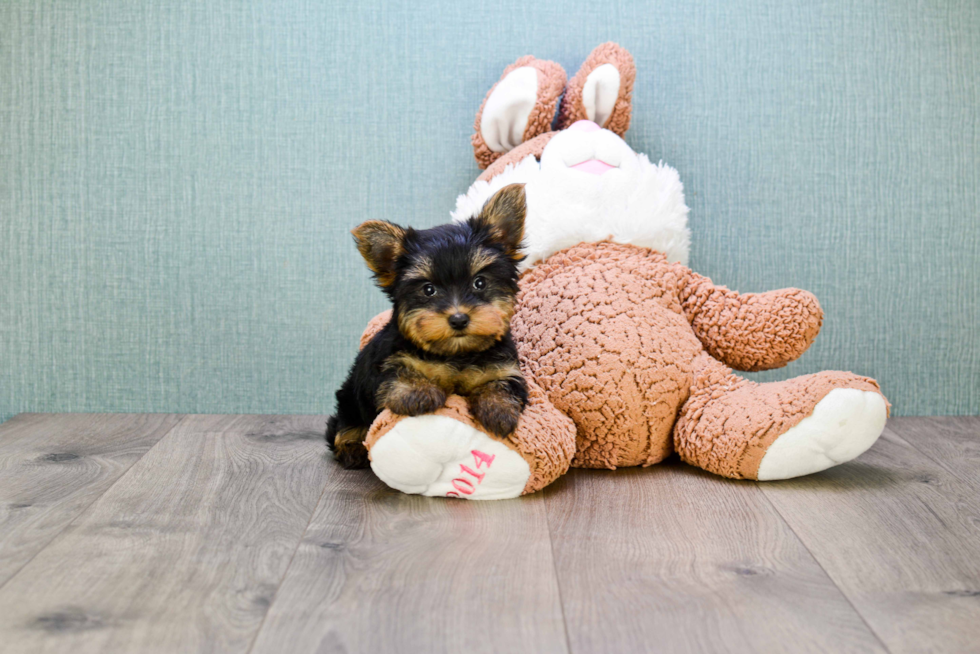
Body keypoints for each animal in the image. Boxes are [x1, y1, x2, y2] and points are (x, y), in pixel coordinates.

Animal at [326, 184, 528, 472]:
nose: (458, 319)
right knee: (344, 424)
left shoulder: (505, 367)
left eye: (479, 282)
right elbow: (398, 375)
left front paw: (498, 409)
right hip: (349, 398)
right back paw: (352, 447)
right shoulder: (386, 365)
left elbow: (503, 384)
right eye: (428, 290)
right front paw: (419, 392)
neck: (457, 353)